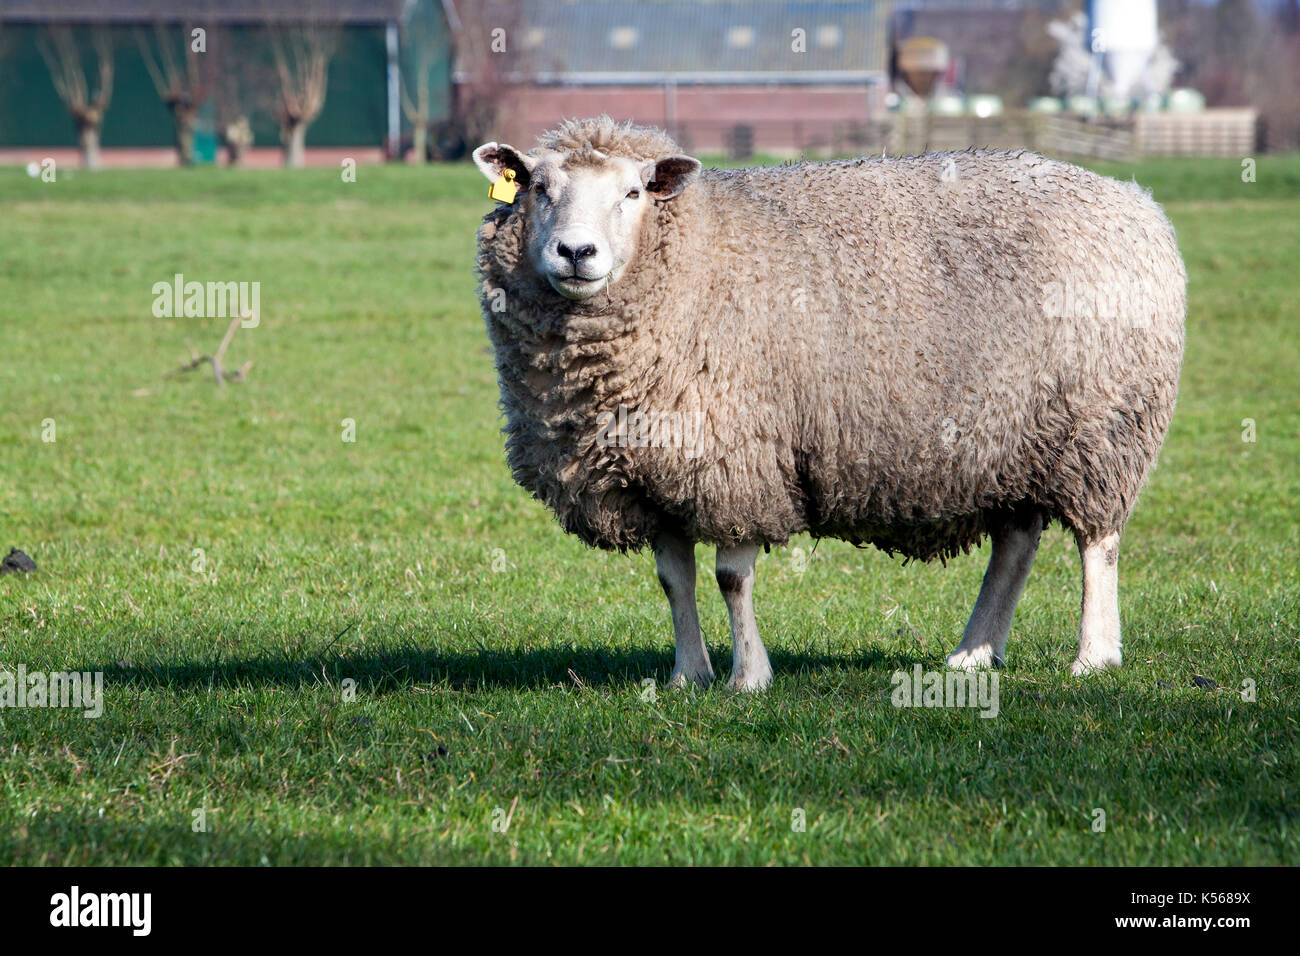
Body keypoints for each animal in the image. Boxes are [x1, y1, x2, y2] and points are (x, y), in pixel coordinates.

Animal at [475, 115, 1190, 691]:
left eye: (631, 193)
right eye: (538, 189)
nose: (576, 252)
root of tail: (1136, 200)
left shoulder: (742, 459)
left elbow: (731, 578)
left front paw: (748, 678)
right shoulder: (660, 470)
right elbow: (674, 579)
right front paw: (688, 675)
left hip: (1103, 425)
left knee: (1098, 542)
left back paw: (1093, 656)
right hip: (1011, 437)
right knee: (1016, 544)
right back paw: (974, 653)